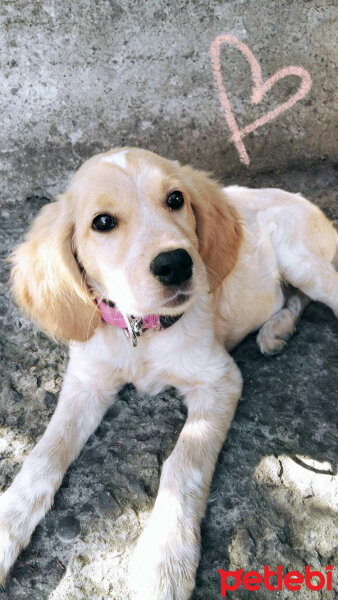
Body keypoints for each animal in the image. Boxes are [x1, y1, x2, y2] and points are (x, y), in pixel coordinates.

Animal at [1, 146, 336, 600]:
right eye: (102, 222)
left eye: (176, 199)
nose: (175, 263)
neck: (141, 330)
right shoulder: (86, 383)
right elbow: (44, 453)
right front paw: (7, 524)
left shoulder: (219, 379)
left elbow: (183, 464)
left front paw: (165, 555)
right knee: (293, 297)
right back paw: (276, 329)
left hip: (301, 258)